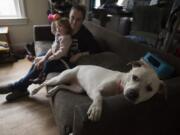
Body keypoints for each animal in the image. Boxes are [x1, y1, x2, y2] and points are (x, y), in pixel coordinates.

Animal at [30, 60, 165, 121]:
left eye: (149, 88)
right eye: (135, 77)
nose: (132, 94)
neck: (120, 85)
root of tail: (77, 66)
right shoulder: (96, 91)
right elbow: (99, 97)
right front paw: (96, 109)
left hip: (77, 89)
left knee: (61, 86)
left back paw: (53, 91)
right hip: (61, 77)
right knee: (46, 82)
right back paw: (35, 90)